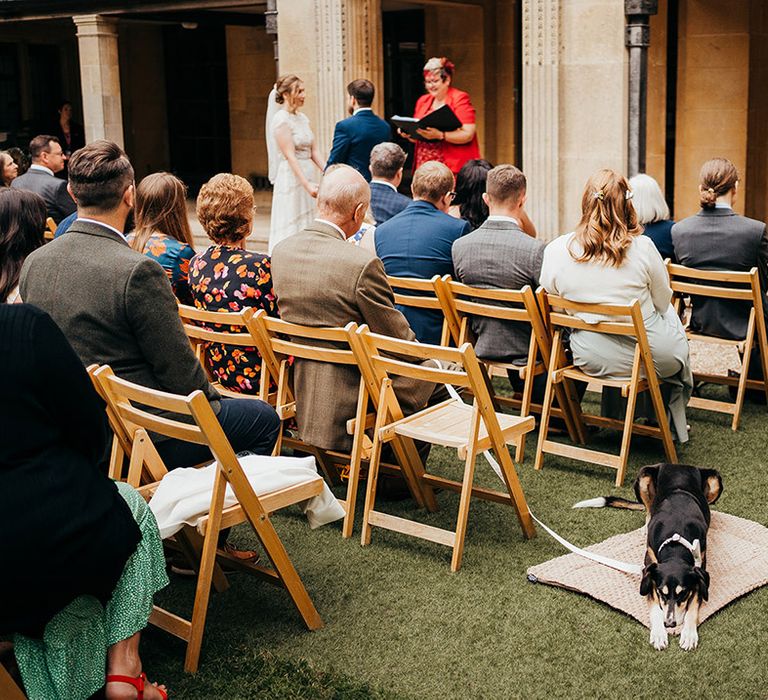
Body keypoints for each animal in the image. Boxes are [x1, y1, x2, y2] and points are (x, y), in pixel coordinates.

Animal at [572, 464, 724, 652]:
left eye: (683, 594)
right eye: (661, 592)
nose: (670, 624)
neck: (676, 542)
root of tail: (678, 465)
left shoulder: (699, 569)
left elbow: (694, 605)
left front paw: (689, 634)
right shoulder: (650, 569)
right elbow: (653, 604)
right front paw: (659, 633)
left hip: (715, 480)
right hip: (643, 476)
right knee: (648, 508)